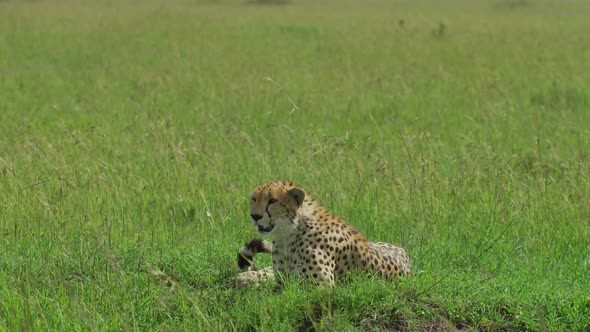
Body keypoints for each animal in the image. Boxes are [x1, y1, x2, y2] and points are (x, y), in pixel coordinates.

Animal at [234, 180, 410, 286]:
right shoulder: (282, 281)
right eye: (254, 199)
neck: (289, 233)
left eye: (272, 201)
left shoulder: (322, 286)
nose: (255, 216)